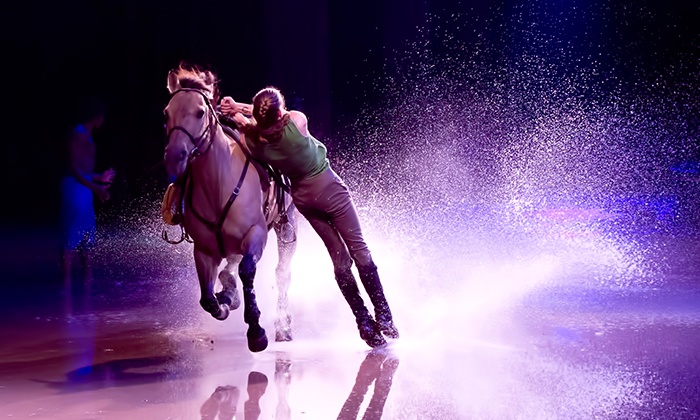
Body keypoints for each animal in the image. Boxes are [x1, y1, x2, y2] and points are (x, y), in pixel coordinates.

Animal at [163, 65, 296, 352]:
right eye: (166, 112)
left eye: (200, 112)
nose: (175, 156)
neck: (218, 187)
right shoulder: (203, 250)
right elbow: (208, 298)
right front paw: (226, 298)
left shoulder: (256, 234)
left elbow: (247, 272)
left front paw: (256, 330)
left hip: (287, 226)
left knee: (281, 273)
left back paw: (283, 325)